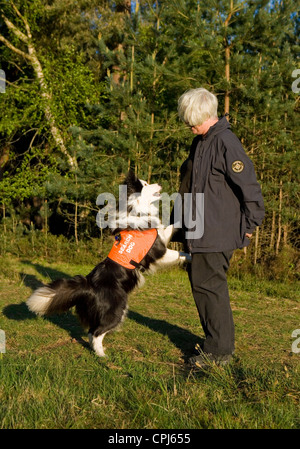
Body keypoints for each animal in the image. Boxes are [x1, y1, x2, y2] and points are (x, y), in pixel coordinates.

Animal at [26, 172, 190, 356]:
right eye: (146, 184)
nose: (160, 183)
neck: (136, 210)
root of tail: (88, 285)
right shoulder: (158, 252)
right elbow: (177, 254)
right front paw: (189, 255)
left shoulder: (161, 236)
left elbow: (170, 227)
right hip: (117, 310)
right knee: (96, 332)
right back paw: (102, 356)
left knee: (91, 332)